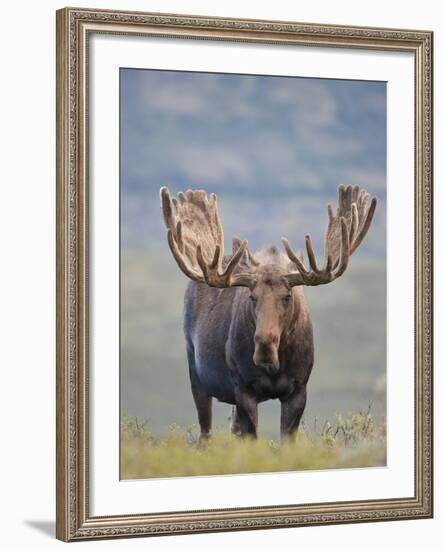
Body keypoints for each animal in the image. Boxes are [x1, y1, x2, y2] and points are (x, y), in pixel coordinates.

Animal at [159, 188, 374, 442]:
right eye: (252, 297)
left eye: (288, 296)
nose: (264, 347)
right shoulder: (243, 388)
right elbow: (251, 438)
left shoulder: (299, 388)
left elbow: (285, 440)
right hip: (195, 369)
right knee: (206, 431)